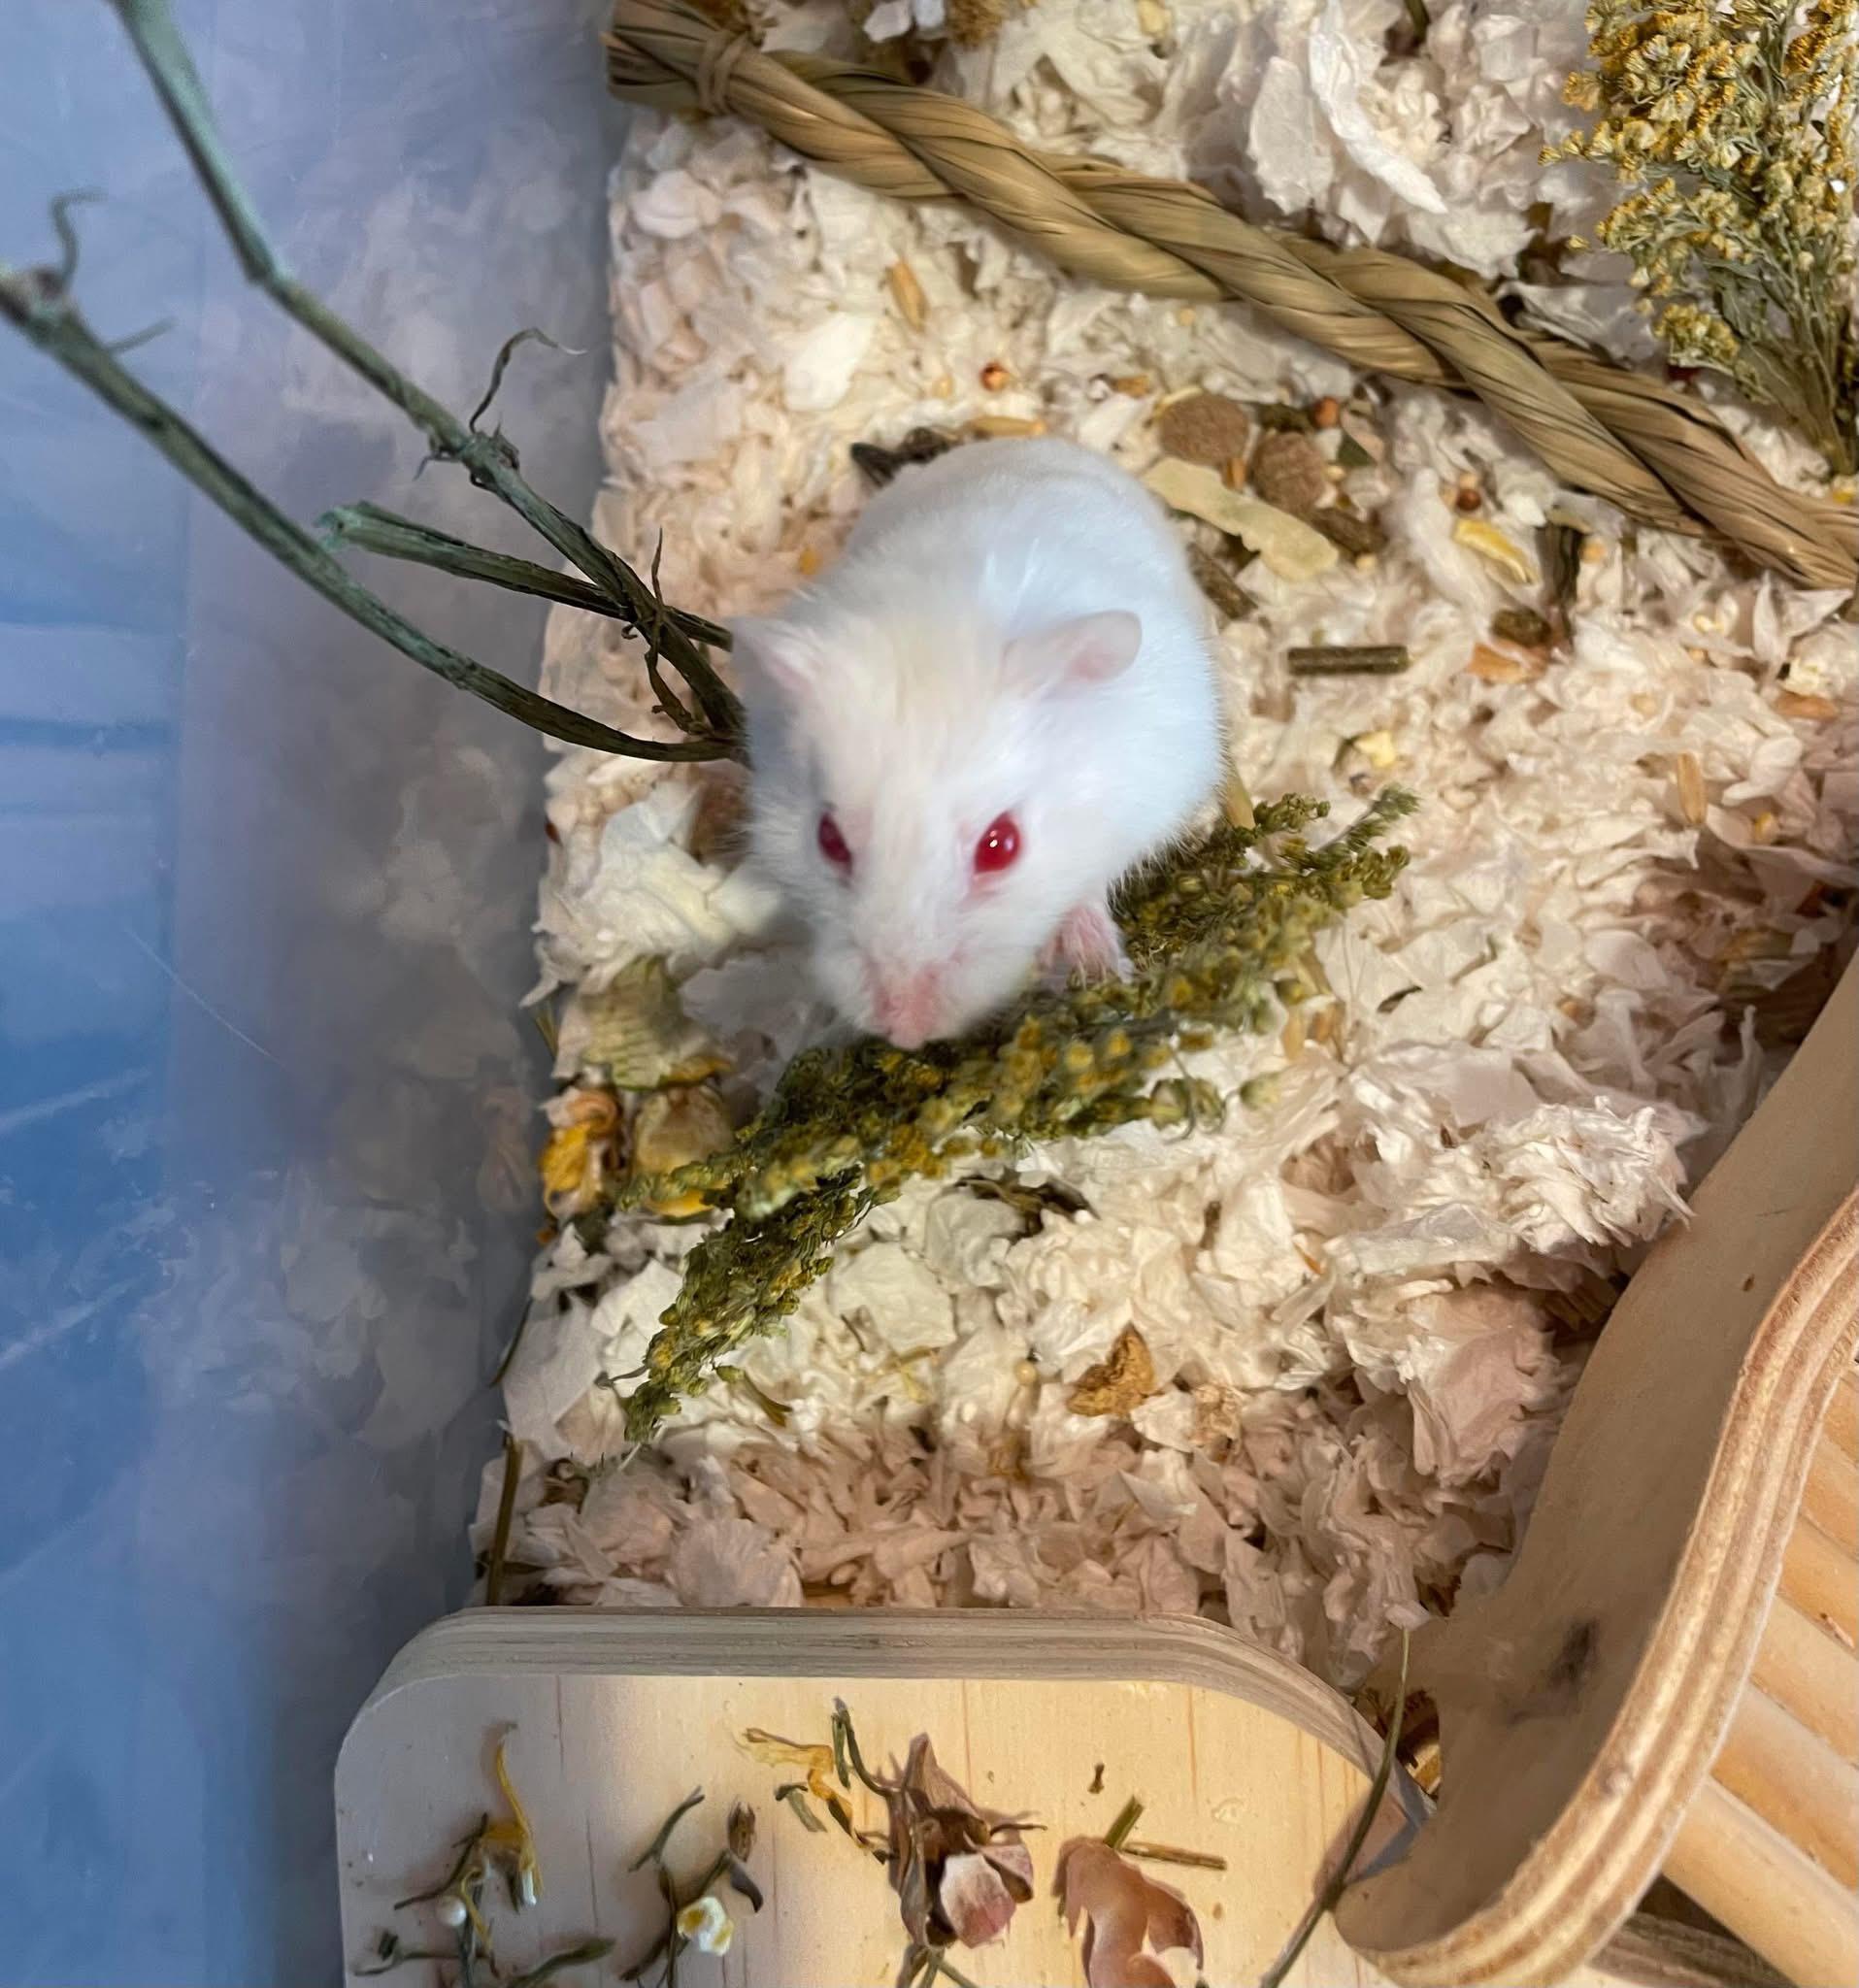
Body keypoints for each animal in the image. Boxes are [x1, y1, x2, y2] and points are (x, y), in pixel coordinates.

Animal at [730, 437, 1225, 1050]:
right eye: (829, 839)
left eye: (1001, 846)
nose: (906, 1033)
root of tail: (1026, 440)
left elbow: (1089, 888)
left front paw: (1097, 968)